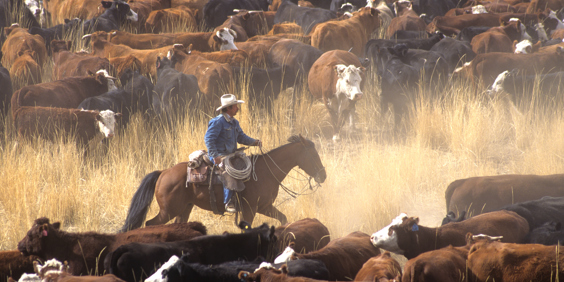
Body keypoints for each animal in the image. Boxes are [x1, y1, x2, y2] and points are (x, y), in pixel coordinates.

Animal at [121, 136, 328, 231]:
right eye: (313, 154)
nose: (323, 176)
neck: (265, 172)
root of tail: (163, 172)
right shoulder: (250, 209)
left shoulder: (265, 206)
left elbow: (283, 218)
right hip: (168, 211)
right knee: (149, 223)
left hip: (184, 208)